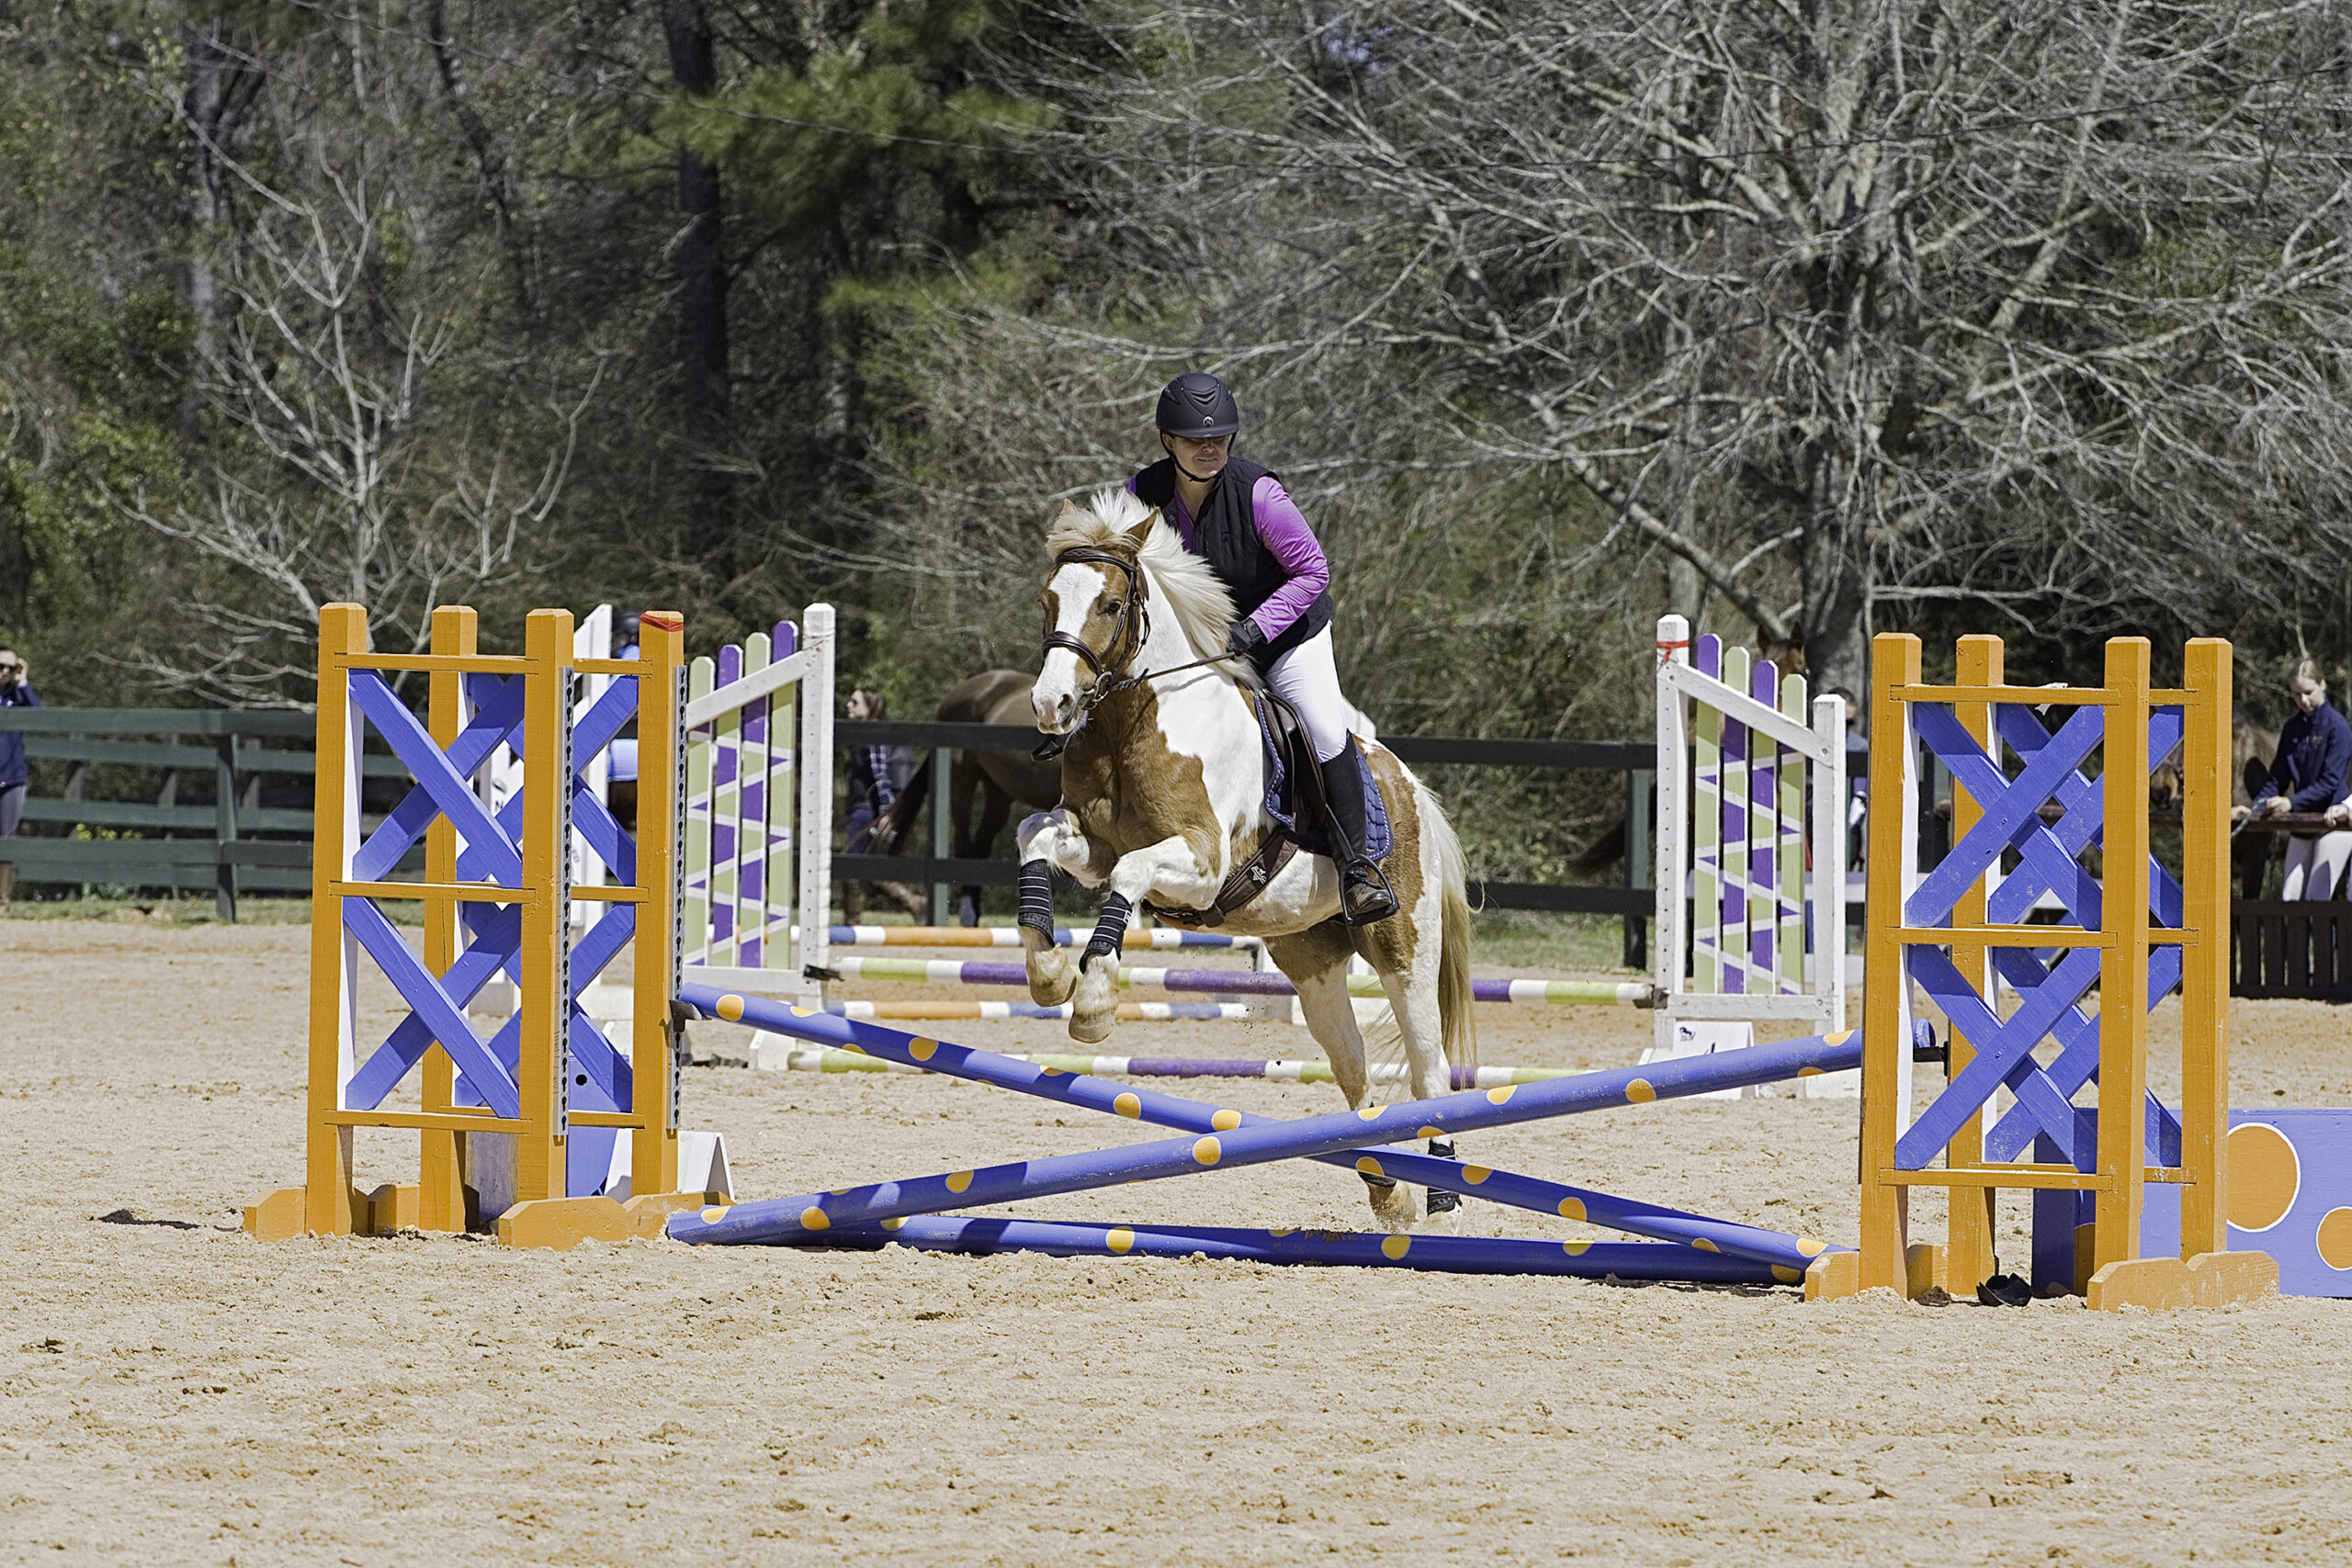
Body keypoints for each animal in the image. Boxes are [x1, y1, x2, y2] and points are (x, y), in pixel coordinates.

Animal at [1011, 491, 1467, 1241]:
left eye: (1110, 603)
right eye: (1049, 600)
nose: (1053, 706)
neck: (1134, 721)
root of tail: (1409, 788)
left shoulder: (1199, 863)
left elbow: (1129, 875)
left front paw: (1095, 999)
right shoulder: (1088, 842)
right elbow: (1036, 839)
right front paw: (1047, 970)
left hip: (1403, 946)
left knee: (1431, 1069)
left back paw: (1443, 1199)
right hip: (1310, 960)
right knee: (1353, 1069)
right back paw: (1388, 1193)